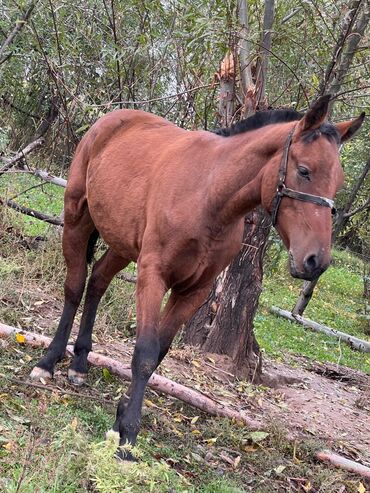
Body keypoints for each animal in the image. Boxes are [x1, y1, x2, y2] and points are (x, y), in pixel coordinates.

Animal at [30, 95, 362, 458]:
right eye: (304, 171)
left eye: (338, 182)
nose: (316, 261)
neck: (208, 198)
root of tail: (111, 120)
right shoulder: (153, 276)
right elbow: (144, 354)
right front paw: (127, 436)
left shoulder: (194, 291)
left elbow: (158, 353)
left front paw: (120, 420)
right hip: (77, 217)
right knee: (75, 287)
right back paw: (48, 362)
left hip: (122, 245)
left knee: (98, 282)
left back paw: (78, 364)